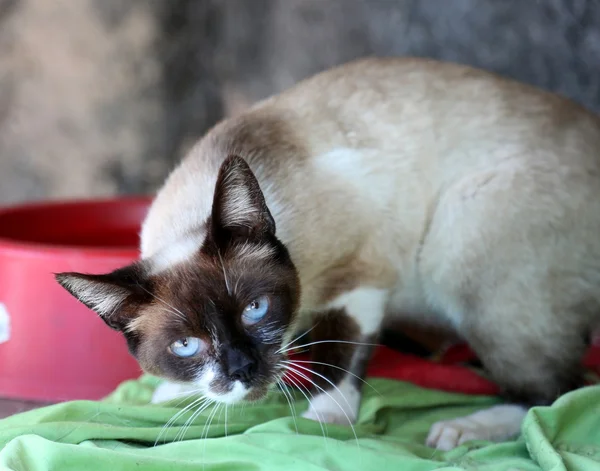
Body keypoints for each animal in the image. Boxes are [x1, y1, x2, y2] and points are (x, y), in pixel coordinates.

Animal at [54, 57, 600, 452]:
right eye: (186, 346)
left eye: (255, 309)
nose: (241, 370)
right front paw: (177, 392)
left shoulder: (361, 275)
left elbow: (341, 351)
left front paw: (329, 414)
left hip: (458, 236)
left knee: (556, 393)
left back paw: (461, 428)